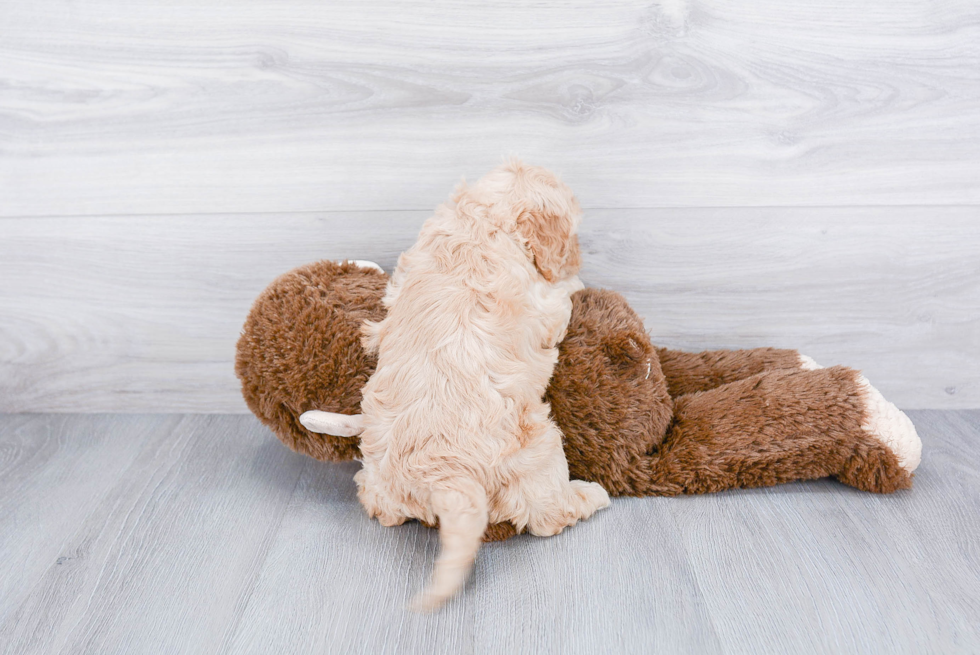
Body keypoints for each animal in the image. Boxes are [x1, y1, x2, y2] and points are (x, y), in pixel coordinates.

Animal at [356, 161, 608, 612]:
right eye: (573, 231)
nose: (579, 255)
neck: (479, 217)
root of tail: (444, 475)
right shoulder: (544, 306)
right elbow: (562, 297)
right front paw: (576, 281)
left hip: (381, 475)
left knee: (379, 505)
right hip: (540, 446)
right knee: (548, 516)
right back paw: (590, 496)